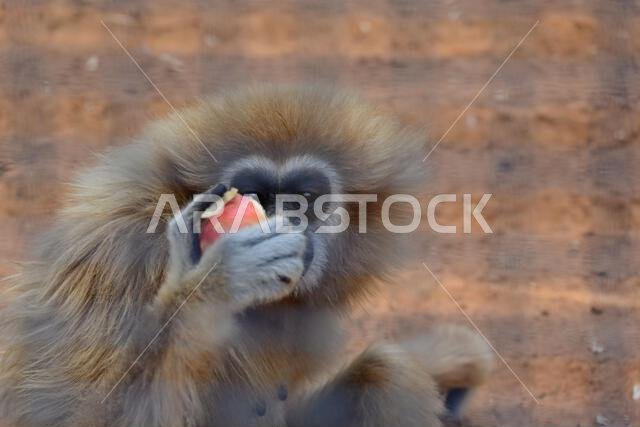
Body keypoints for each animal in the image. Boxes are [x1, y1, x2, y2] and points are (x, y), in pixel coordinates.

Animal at [0, 85, 493, 427]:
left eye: (303, 199)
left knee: (387, 372)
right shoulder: (117, 254)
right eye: (257, 195)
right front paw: (210, 281)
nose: (283, 220)